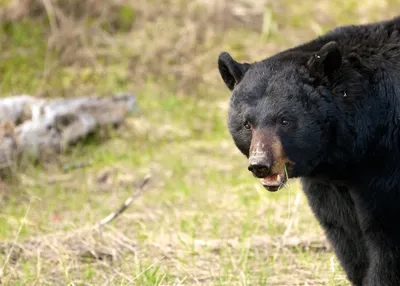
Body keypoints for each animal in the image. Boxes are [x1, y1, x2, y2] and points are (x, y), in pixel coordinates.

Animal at [219, 16, 400, 286]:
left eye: (284, 120)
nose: (260, 164)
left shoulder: (387, 161)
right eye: (247, 124)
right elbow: (344, 230)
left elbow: (388, 233)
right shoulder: (330, 182)